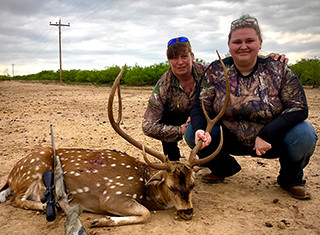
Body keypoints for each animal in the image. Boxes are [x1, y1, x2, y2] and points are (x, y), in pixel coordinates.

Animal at [0, 51, 230, 228]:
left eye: (192, 184)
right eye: (172, 187)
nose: (188, 211)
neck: (146, 189)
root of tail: (10, 177)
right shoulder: (112, 195)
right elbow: (145, 213)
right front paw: (101, 221)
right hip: (34, 167)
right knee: (16, 200)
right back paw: (52, 206)